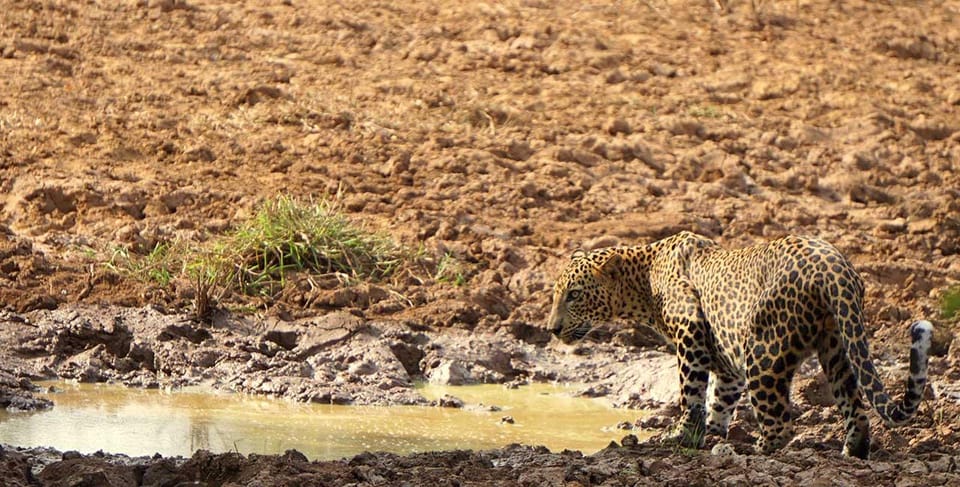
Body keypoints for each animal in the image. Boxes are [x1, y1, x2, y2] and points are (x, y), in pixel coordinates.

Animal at [552, 231, 932, 460]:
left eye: (575, 295)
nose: (551, 329)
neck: (642, 278)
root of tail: (835, 267)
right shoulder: (725, 360)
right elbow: (720, 398)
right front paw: (714, 433)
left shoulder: (690, 331)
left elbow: (690, 393)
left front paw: (683, 437)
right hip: (838, 345)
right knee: (855, 406)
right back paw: (852, 451)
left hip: (763, 352)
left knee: (780, 422)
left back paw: (752, 452)